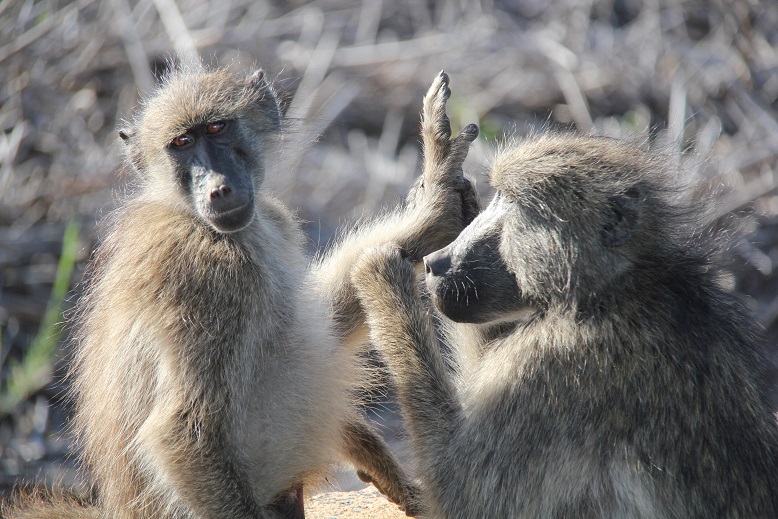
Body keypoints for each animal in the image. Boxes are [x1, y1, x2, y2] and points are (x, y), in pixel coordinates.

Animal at [1, 65, 479, 518]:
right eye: (180, 142)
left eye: (217, 128)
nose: (218, 187)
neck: (199, 221)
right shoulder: (206, 279)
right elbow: (180, 431)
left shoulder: (272, 221)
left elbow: (323, 319)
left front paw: (434, 209)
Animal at [351, 130, 778, 517]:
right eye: (497, 197)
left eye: (514, 204)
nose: (437, 263)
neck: (609, 292)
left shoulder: (550, 363)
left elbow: (463, 497)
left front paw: (381, 270)